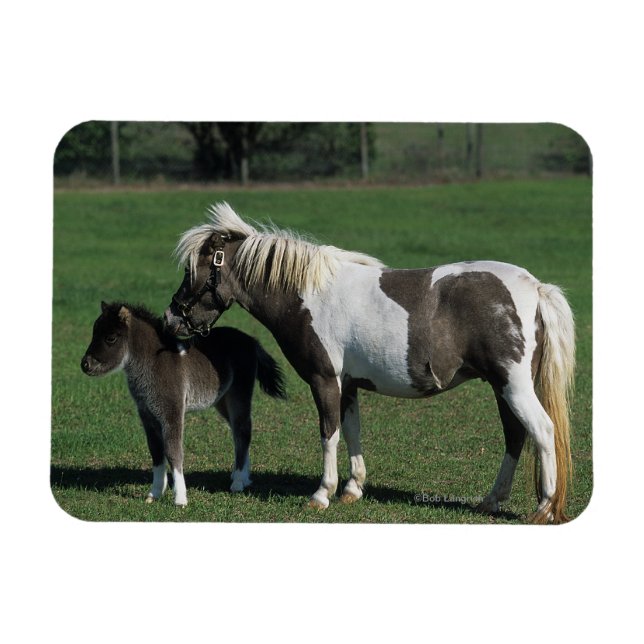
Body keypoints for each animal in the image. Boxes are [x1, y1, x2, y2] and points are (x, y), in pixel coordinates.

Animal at [81, 301, 286, 506]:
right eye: (93, 332)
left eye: (111, 338)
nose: (85, 365)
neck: (153, 362)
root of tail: (251, 341)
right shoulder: (147, 415)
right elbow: (156, 452)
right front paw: (154, 493)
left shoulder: (172, 412)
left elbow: (173, 452)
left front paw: (180, 498)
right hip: (222, 400)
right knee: (239, 432)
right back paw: (243, 476)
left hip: (239, 394)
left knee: (243, 431)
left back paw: (238, 482)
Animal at [163, 202, 575, 523]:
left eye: (193, 270)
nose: (171, 318)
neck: (308, 295)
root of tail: (534, 287)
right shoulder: (348, 385)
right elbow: (352, 431)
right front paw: (352, 488)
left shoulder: (324, 380)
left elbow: (328, 433)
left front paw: (322, 494)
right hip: (502, 386)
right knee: (515, 435)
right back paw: (491, 501)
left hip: (513, 385)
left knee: (542, 431)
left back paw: (543, 508)